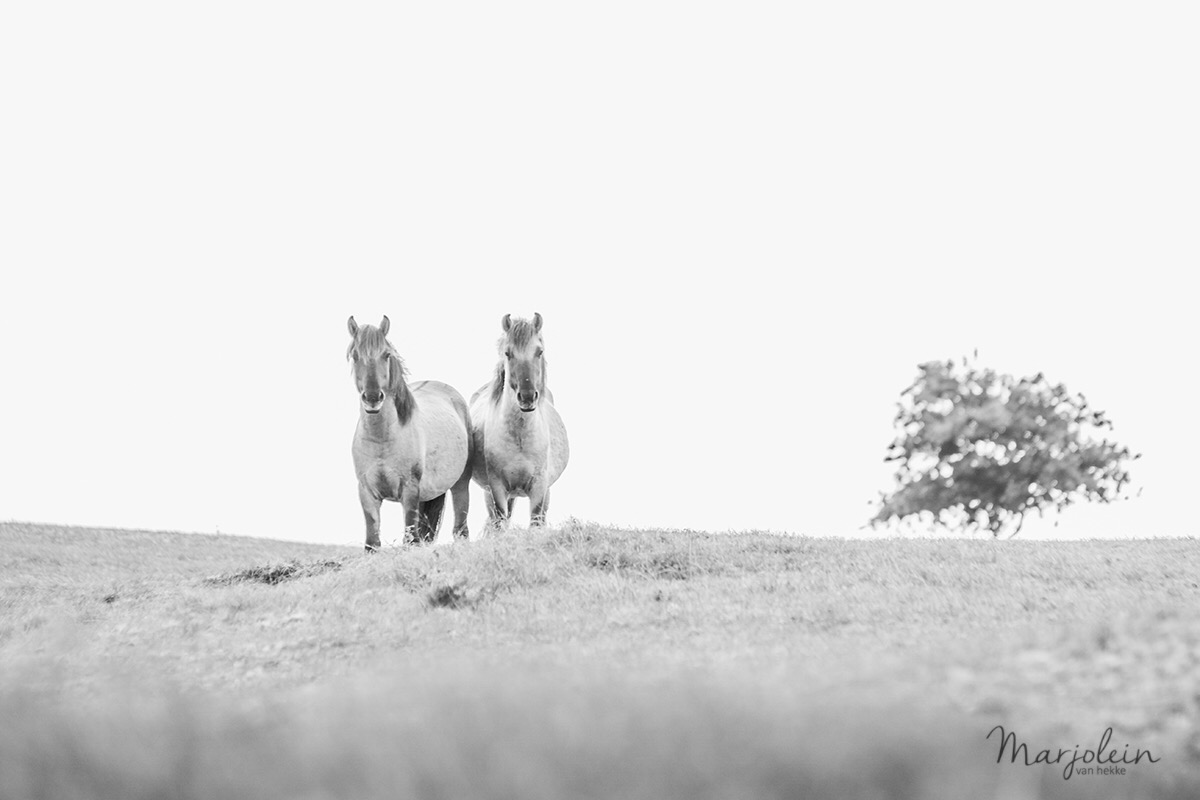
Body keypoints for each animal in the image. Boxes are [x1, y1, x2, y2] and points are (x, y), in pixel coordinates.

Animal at [347, 315, 472, 550]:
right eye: (355, 355)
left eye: (386, 355)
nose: (372, 398)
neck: (381, 439)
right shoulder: (367, 493)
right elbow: (372, 543)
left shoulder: (410, 491)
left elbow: (410, 540)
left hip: (460, 485)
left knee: (461, 530)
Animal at [469, 312, 569, 529]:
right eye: (508, 353)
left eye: (539, 352)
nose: (527, 397)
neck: (520, 439)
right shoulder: (497, 488)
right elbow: (500, 523)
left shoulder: (539, 489)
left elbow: (536, 523)